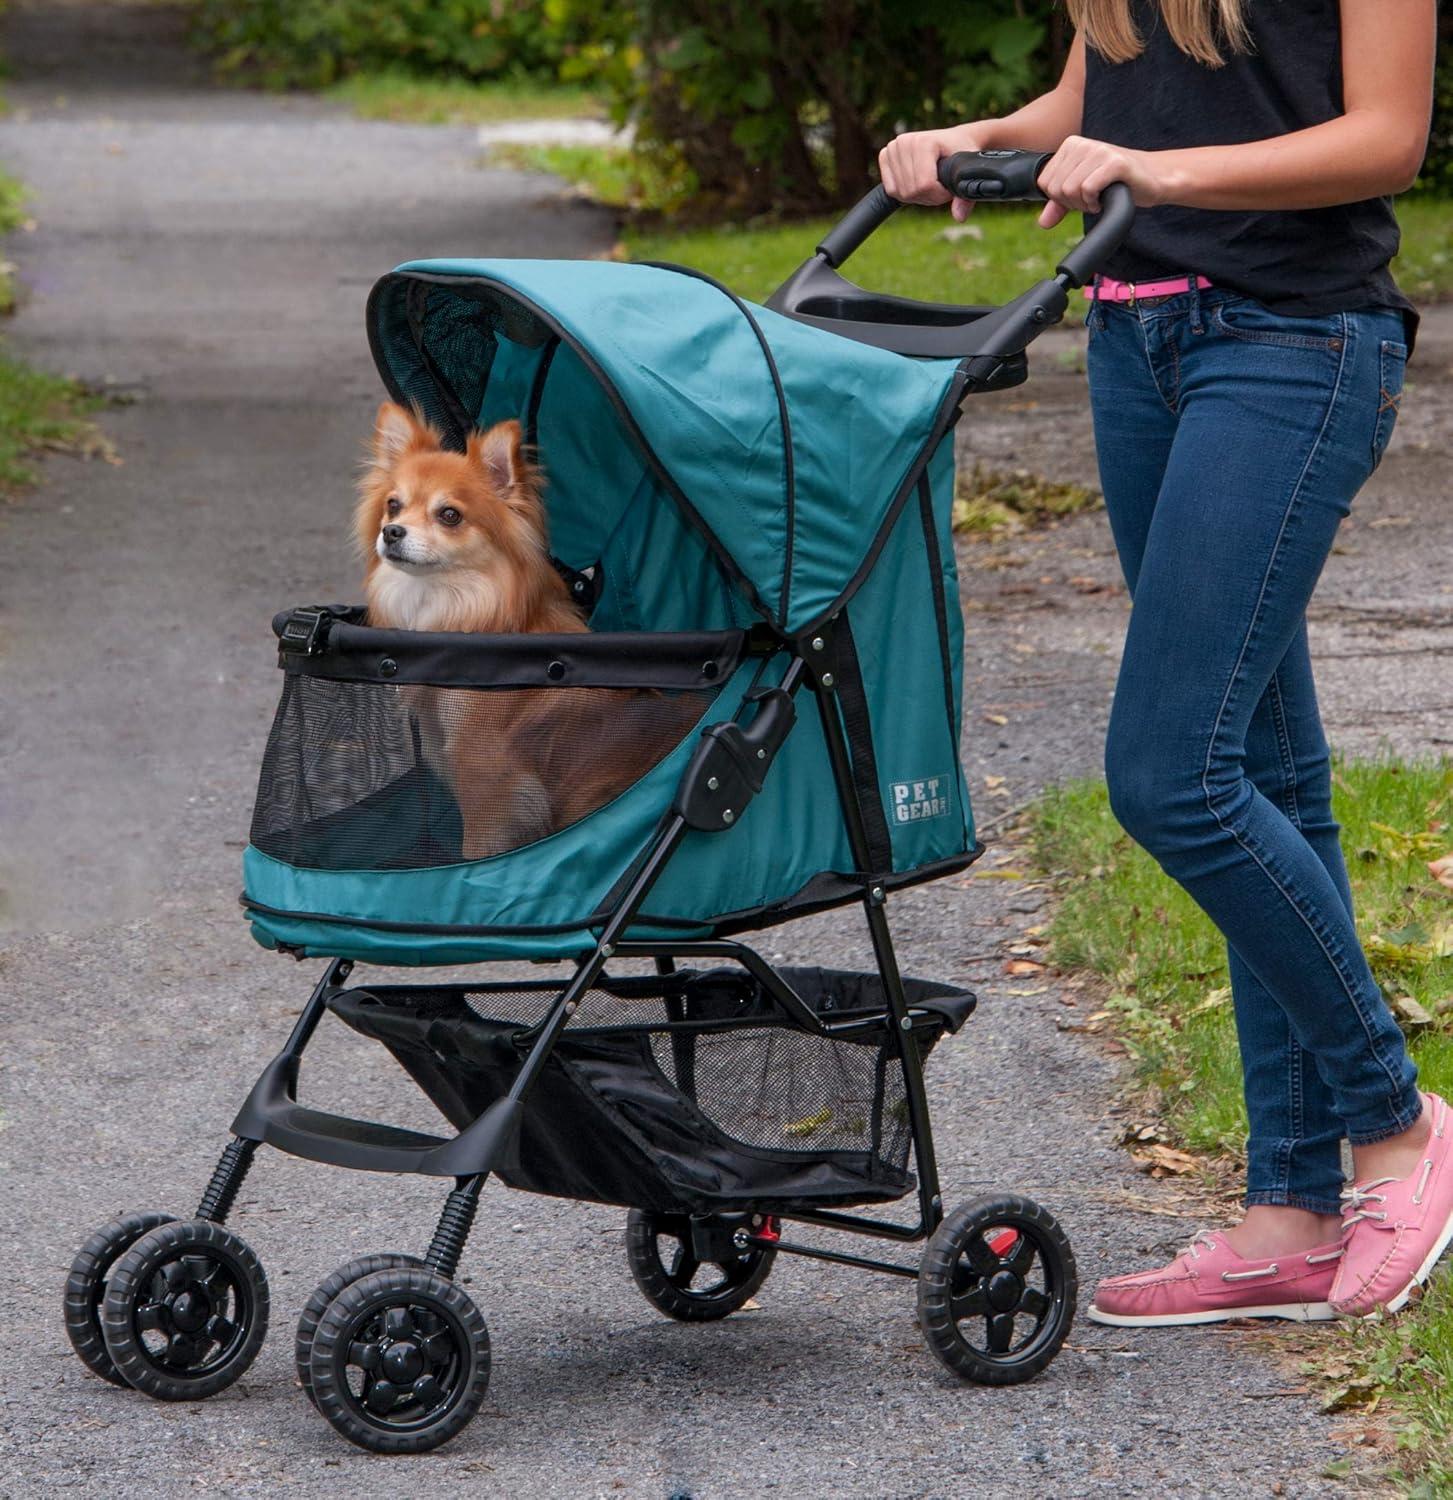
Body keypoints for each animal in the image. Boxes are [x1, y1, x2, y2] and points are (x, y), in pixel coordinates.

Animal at [355, 405, 698, 864]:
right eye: (393, 506)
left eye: (450, 515)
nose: (392, 532)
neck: (456, 608)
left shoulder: (487, 777)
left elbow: (479, 846)